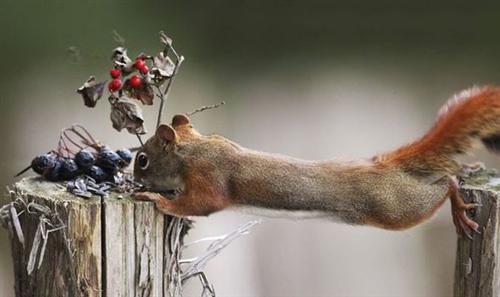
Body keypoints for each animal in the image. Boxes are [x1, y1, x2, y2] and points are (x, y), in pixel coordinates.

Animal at [134, 85, 500, 236]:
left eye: (142, 160)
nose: (134, 178)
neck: (195, 150)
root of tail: (382, 165)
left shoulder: (209, 178)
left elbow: (203, 203)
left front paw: (157, 199)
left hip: (395, 209)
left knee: (442, 186)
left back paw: (457, 198)